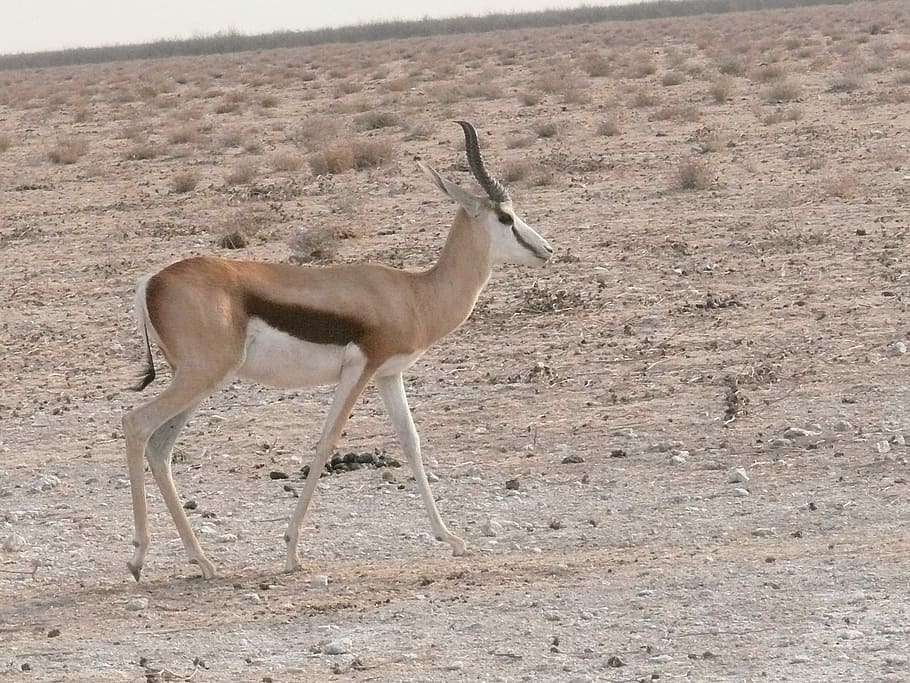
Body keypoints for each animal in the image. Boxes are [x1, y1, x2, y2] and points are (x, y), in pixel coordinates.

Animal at [123, 121, 553, 581]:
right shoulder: (361, 369)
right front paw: (292, 552)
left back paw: (202, 560)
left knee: (160, 446)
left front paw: (451, 539)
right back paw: (139, 558)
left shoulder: (389, 374)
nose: (548, 250)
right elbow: (327, 441)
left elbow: (411, 441)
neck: (415, 294)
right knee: (135, 423)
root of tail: (152, 281)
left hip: (198, 380)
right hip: (201, 375)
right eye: (505, 217)